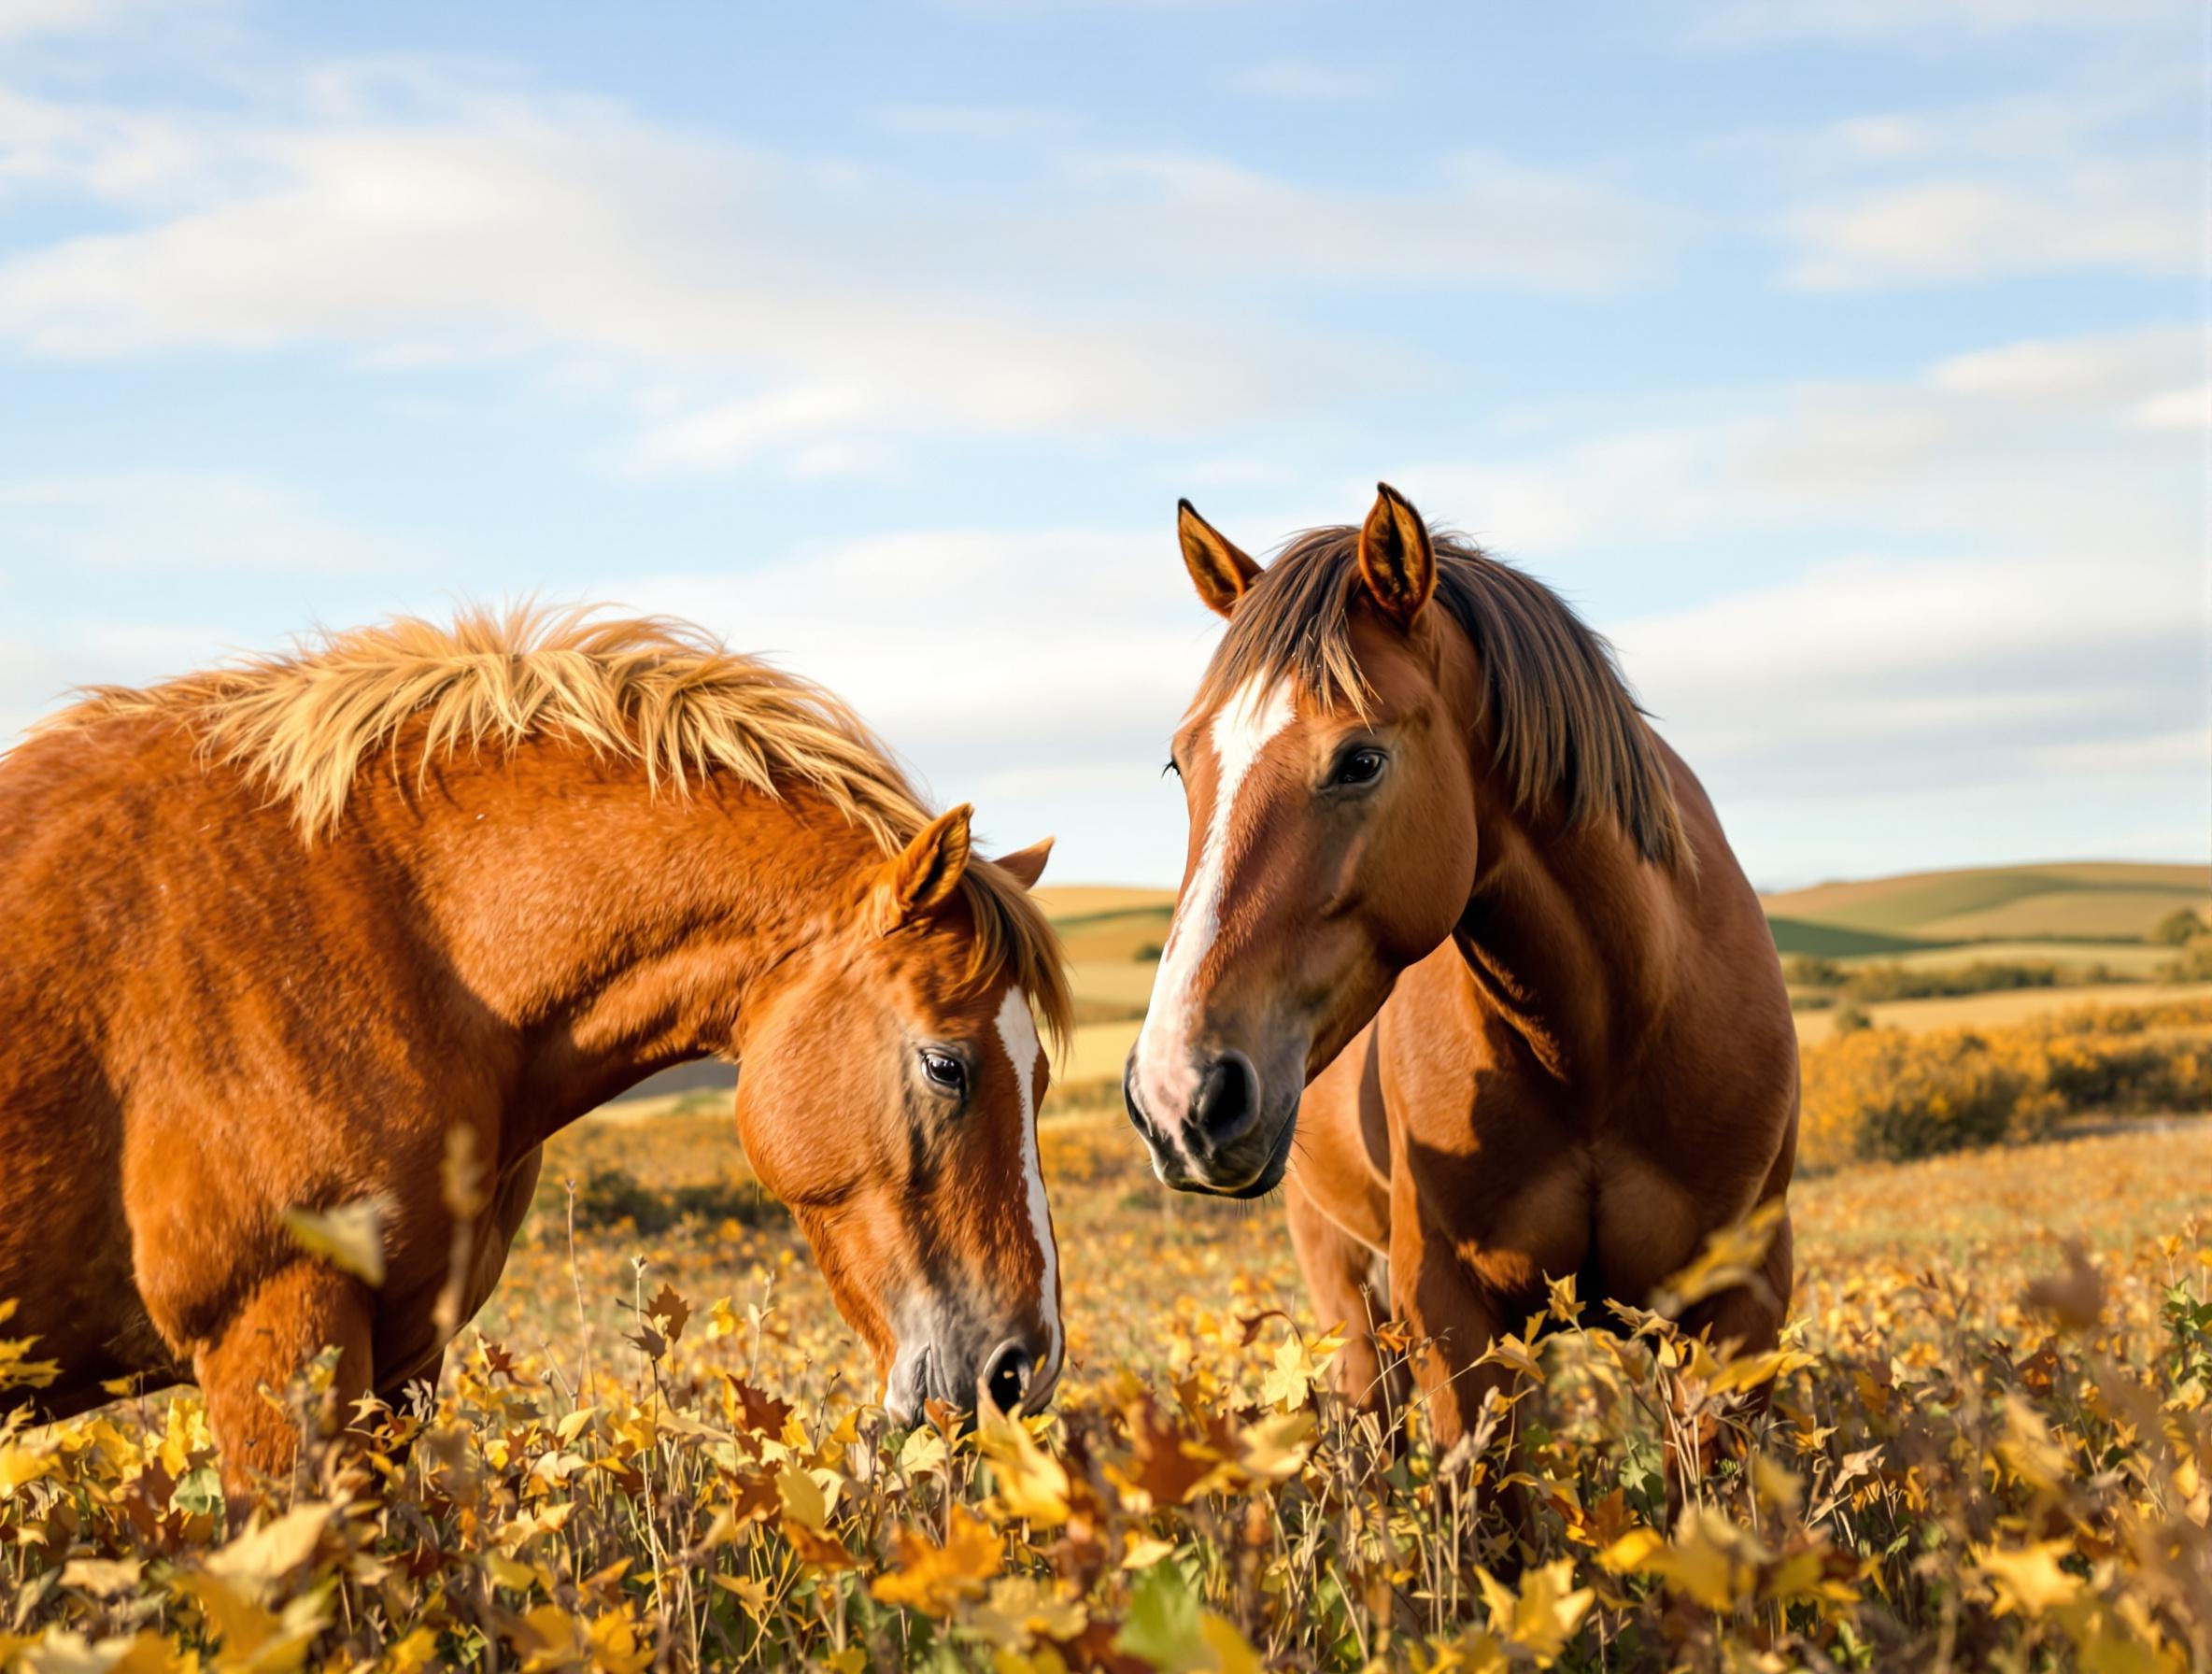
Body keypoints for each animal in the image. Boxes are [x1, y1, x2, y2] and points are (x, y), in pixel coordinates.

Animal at [1123, 486, 1795, 1477]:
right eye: (1182, 763)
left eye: (1360, 760)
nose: (1177, 1094)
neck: (1601, 1046)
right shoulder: (1447, 1310)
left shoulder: (1738, 1308)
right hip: (1343, 1286)